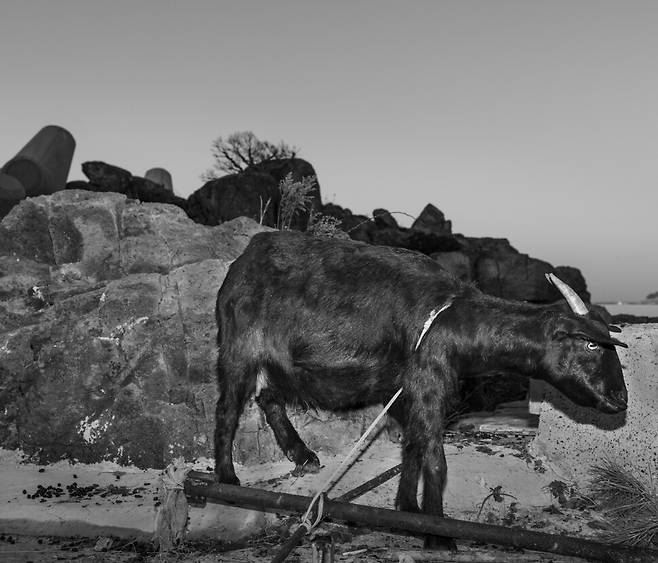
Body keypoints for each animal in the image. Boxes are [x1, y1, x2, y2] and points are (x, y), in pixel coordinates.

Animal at [214, 230, 624, 552]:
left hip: (277, 364)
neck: (453, 319)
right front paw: (438, 535)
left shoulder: (405, 389)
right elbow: (435, 458)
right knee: (228, 407)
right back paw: (227, 479)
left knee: (268, 397)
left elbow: (413, 445)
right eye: (591, 344)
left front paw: (409, 509)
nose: (620, 400)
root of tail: (243, 261)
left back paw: (302, 455)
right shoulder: (428, 382)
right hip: (239, 347)